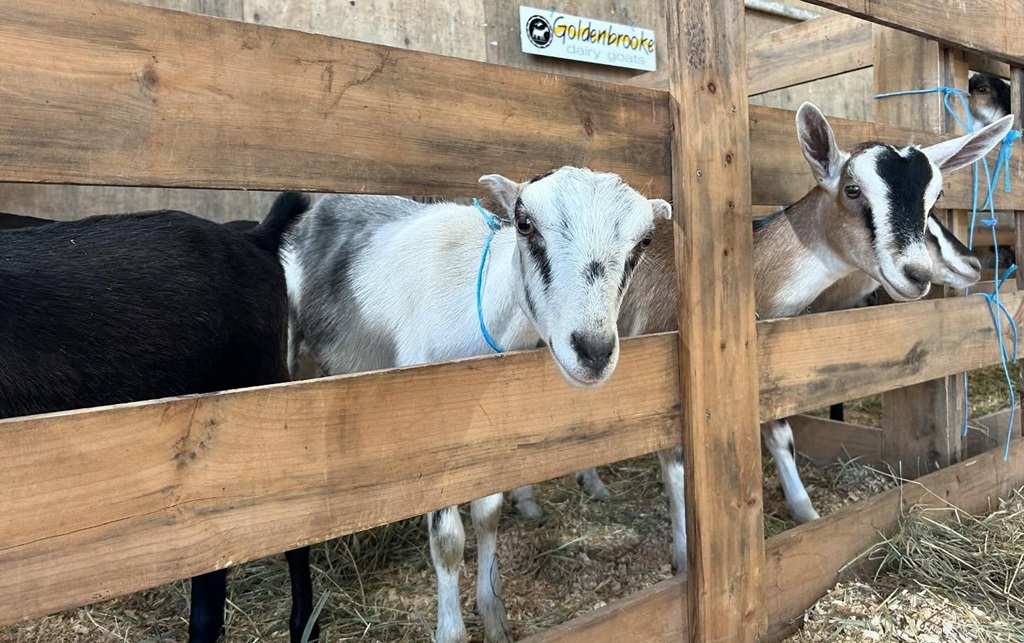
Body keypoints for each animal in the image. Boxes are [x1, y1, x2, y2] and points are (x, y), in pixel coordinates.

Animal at [283, 167, 671, 643]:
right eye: (524, 223)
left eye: (644, 242)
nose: (594, 351)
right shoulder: (430, 422)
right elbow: (448, 541)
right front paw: (451, 630)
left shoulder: (487, 421)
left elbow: (488, 514)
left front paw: (494, 615)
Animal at [602, 103, 1010, 574]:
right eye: (853, 189)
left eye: (936, 197)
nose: (917, 274)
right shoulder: (662, 389)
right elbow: (675, 466)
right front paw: (685, 558)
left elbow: (781, 435)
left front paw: (806, 513)